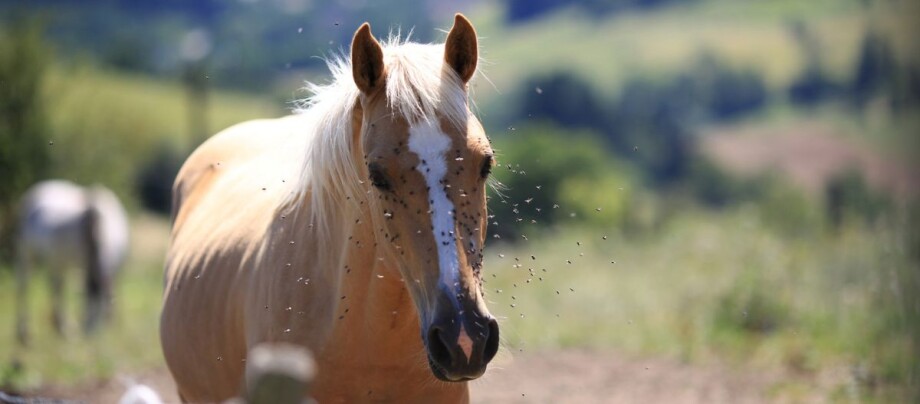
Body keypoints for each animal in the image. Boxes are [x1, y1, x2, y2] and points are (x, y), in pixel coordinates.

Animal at [14, 180, 129, 344]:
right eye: (91, 309)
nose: (90, 335)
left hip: (58, 261)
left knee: (56, 285)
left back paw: (61, 326)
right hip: (27, 253)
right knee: (24, 285)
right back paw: (25, 333)